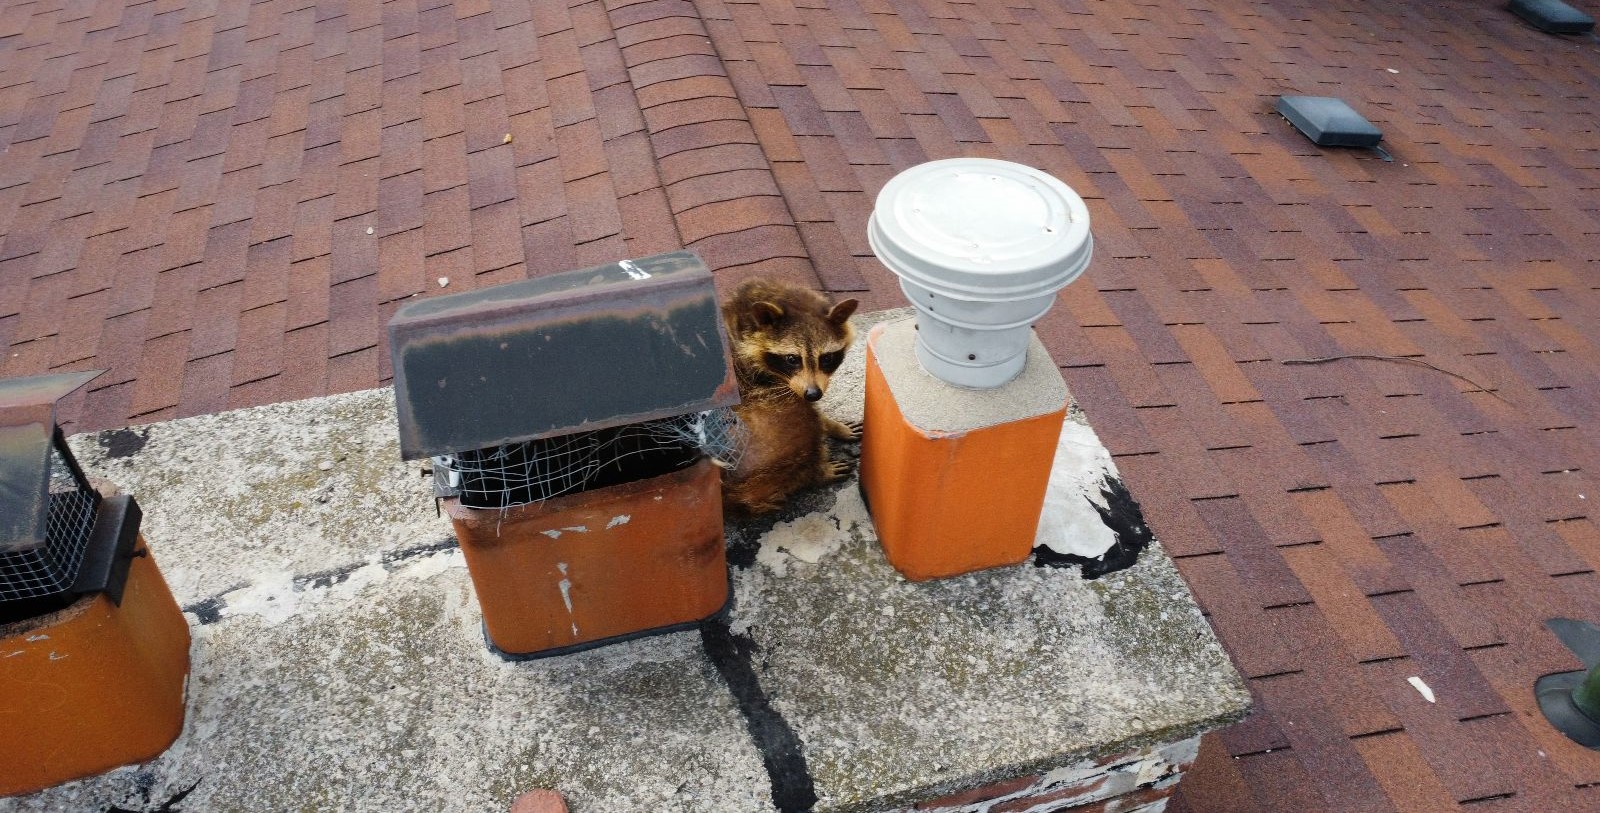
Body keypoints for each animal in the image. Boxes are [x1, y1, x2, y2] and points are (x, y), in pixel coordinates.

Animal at [720, 278, 861, 515]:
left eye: (827, 358)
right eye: (792, 359)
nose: (813, 394)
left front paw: (834, 425)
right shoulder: (755, 378)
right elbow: (802, 407)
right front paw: (829, 426)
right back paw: (815, 473)